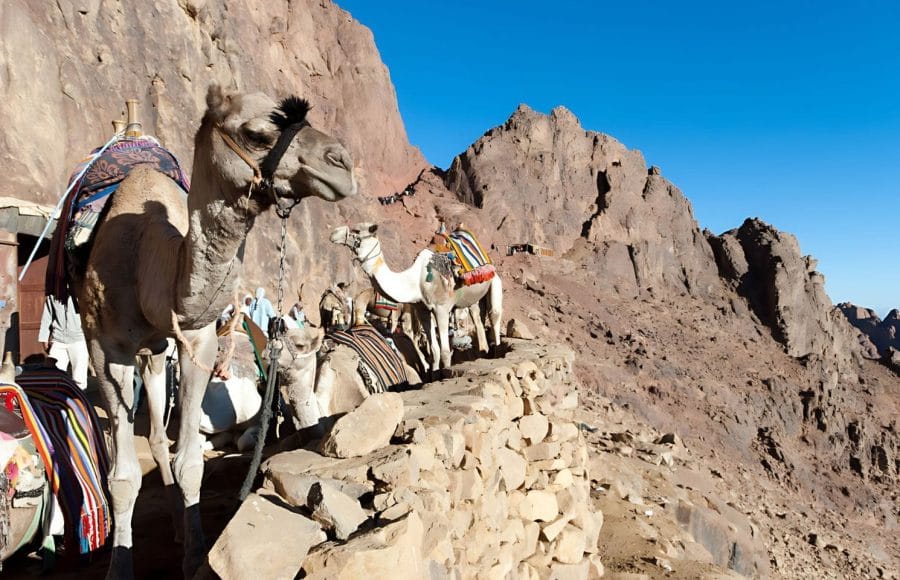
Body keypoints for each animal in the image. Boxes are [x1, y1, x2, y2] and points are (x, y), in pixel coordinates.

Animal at [71, 85, 357, 578]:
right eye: (257, 133)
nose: (342, 162)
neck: (149, 261)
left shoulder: (198, 340)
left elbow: (189, 463)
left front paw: (194, 555)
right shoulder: (105, 350)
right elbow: (122, 477)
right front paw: (120, 566)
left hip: (156, 352)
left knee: (157, 437)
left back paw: (177, 527)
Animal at [330, 223, 503, 372]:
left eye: (357, 230)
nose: (334, 233)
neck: (416, 281)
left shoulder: (441, 309)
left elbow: (445, 351)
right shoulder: (422, 309)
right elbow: (434, 350)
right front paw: (433, 375)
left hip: (494, 280)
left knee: (494, 316)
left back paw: (496, 351)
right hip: (473, 298)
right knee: (478, 320)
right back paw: (483, 352)